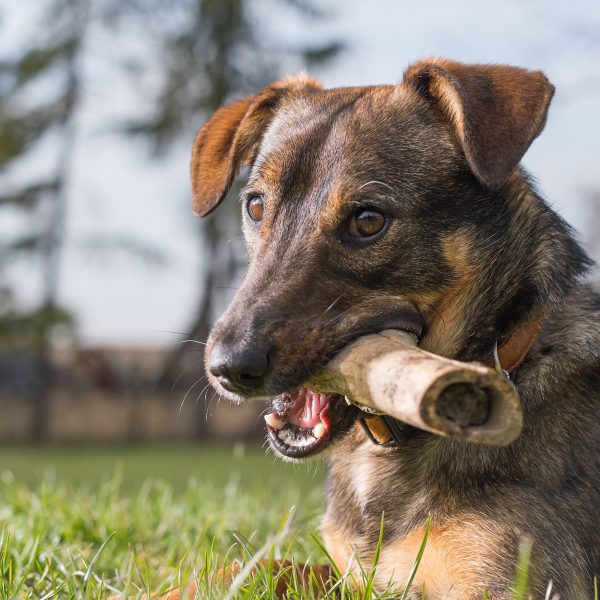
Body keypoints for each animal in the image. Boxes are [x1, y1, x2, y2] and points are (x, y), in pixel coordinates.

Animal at [189, 58, 600, 596]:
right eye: (256, 206)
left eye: (368, 220)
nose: (228, 369)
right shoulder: (349, 573)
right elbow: (243, 568)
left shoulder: (513, 583)